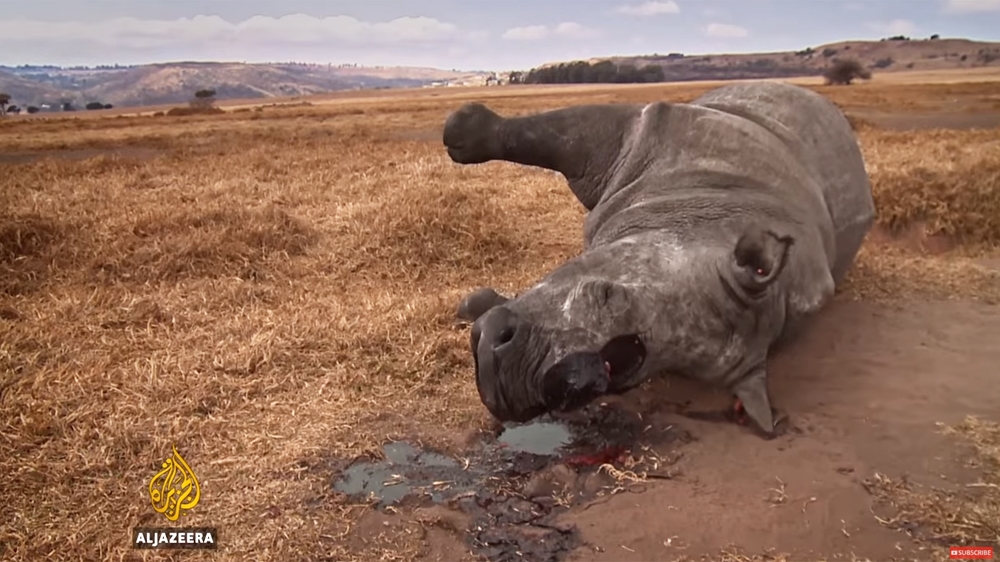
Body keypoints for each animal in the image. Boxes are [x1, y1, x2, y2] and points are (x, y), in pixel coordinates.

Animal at [443, 81, 875, 437]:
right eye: (605, 294)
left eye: (619, 375)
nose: (508, 376)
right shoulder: (654, 137)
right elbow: (563, 130)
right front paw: (461, 132)